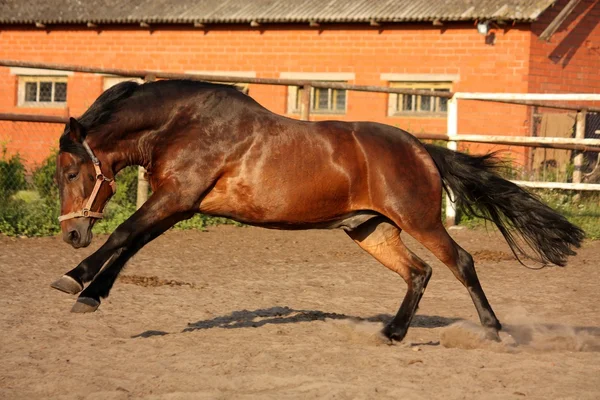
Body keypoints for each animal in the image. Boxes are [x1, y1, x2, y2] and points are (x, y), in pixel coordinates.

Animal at [49, 79, 584, 342]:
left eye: (71, 173)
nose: (72, 235)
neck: (185, 124)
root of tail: (423, 150)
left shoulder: (178, 197)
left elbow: (123, 235)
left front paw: (74, 281)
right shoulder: (179, 204)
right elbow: (133, 243)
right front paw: (90, 293)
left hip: (420, 220)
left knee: (461, 263)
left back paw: (495, 331)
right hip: (370, 230)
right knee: (420, 272)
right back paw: (391, 333)